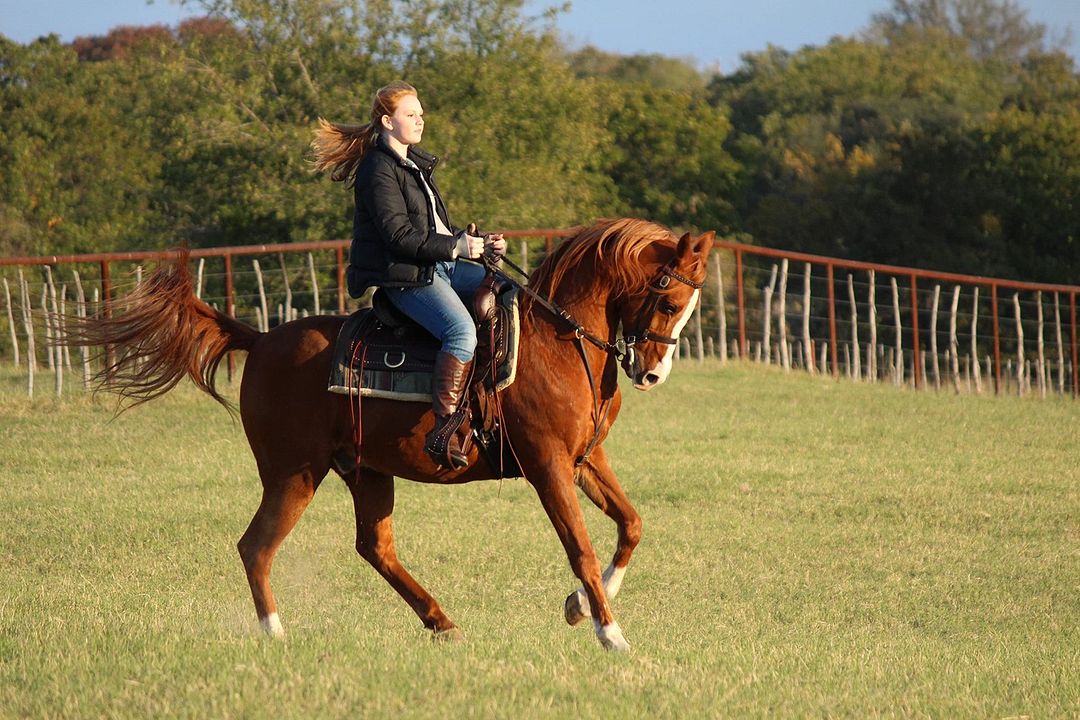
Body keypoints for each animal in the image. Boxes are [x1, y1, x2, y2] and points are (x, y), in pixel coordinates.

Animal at [65, 216, 708, 651]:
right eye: (669, 298)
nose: (652, 373)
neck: (558, 340)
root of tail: (262, 339)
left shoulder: (585, 459)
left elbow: (630, 524)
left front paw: (580, 607)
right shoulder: (547, 466)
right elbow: (581, 547)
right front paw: (610, 634)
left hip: (364, 471)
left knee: (374, 547)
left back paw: (441, 621)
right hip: (293, 473)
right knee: (257, 546)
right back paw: (276, 634)